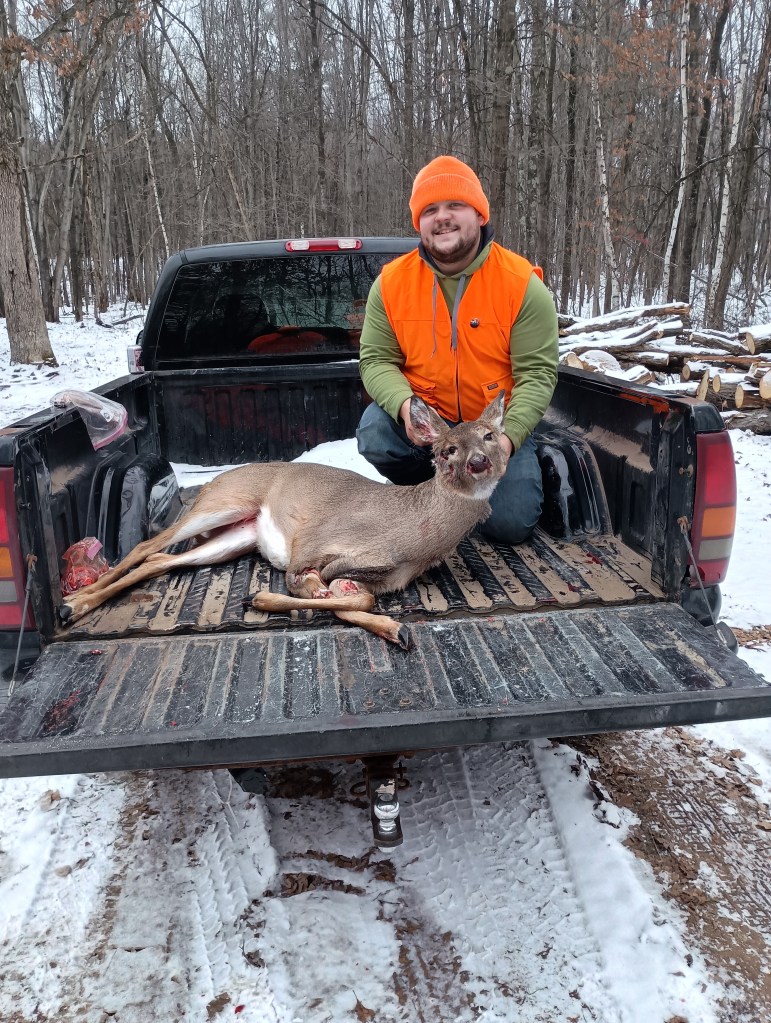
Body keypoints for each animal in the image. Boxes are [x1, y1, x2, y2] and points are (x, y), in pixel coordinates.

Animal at [58, 392, 508, 649]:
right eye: (447, 450)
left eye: (490, 436)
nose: (479, 462)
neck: (409, 535)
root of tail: (217, 479)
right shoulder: (312, 545)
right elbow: (309, 587)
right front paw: (258, 599)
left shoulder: (364, 577)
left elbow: (355, 599)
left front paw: (396, 630)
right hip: (221, 503)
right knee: (146, 545)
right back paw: (73, 602)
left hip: (236, 537)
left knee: (159, 560)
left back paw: (75, 605)